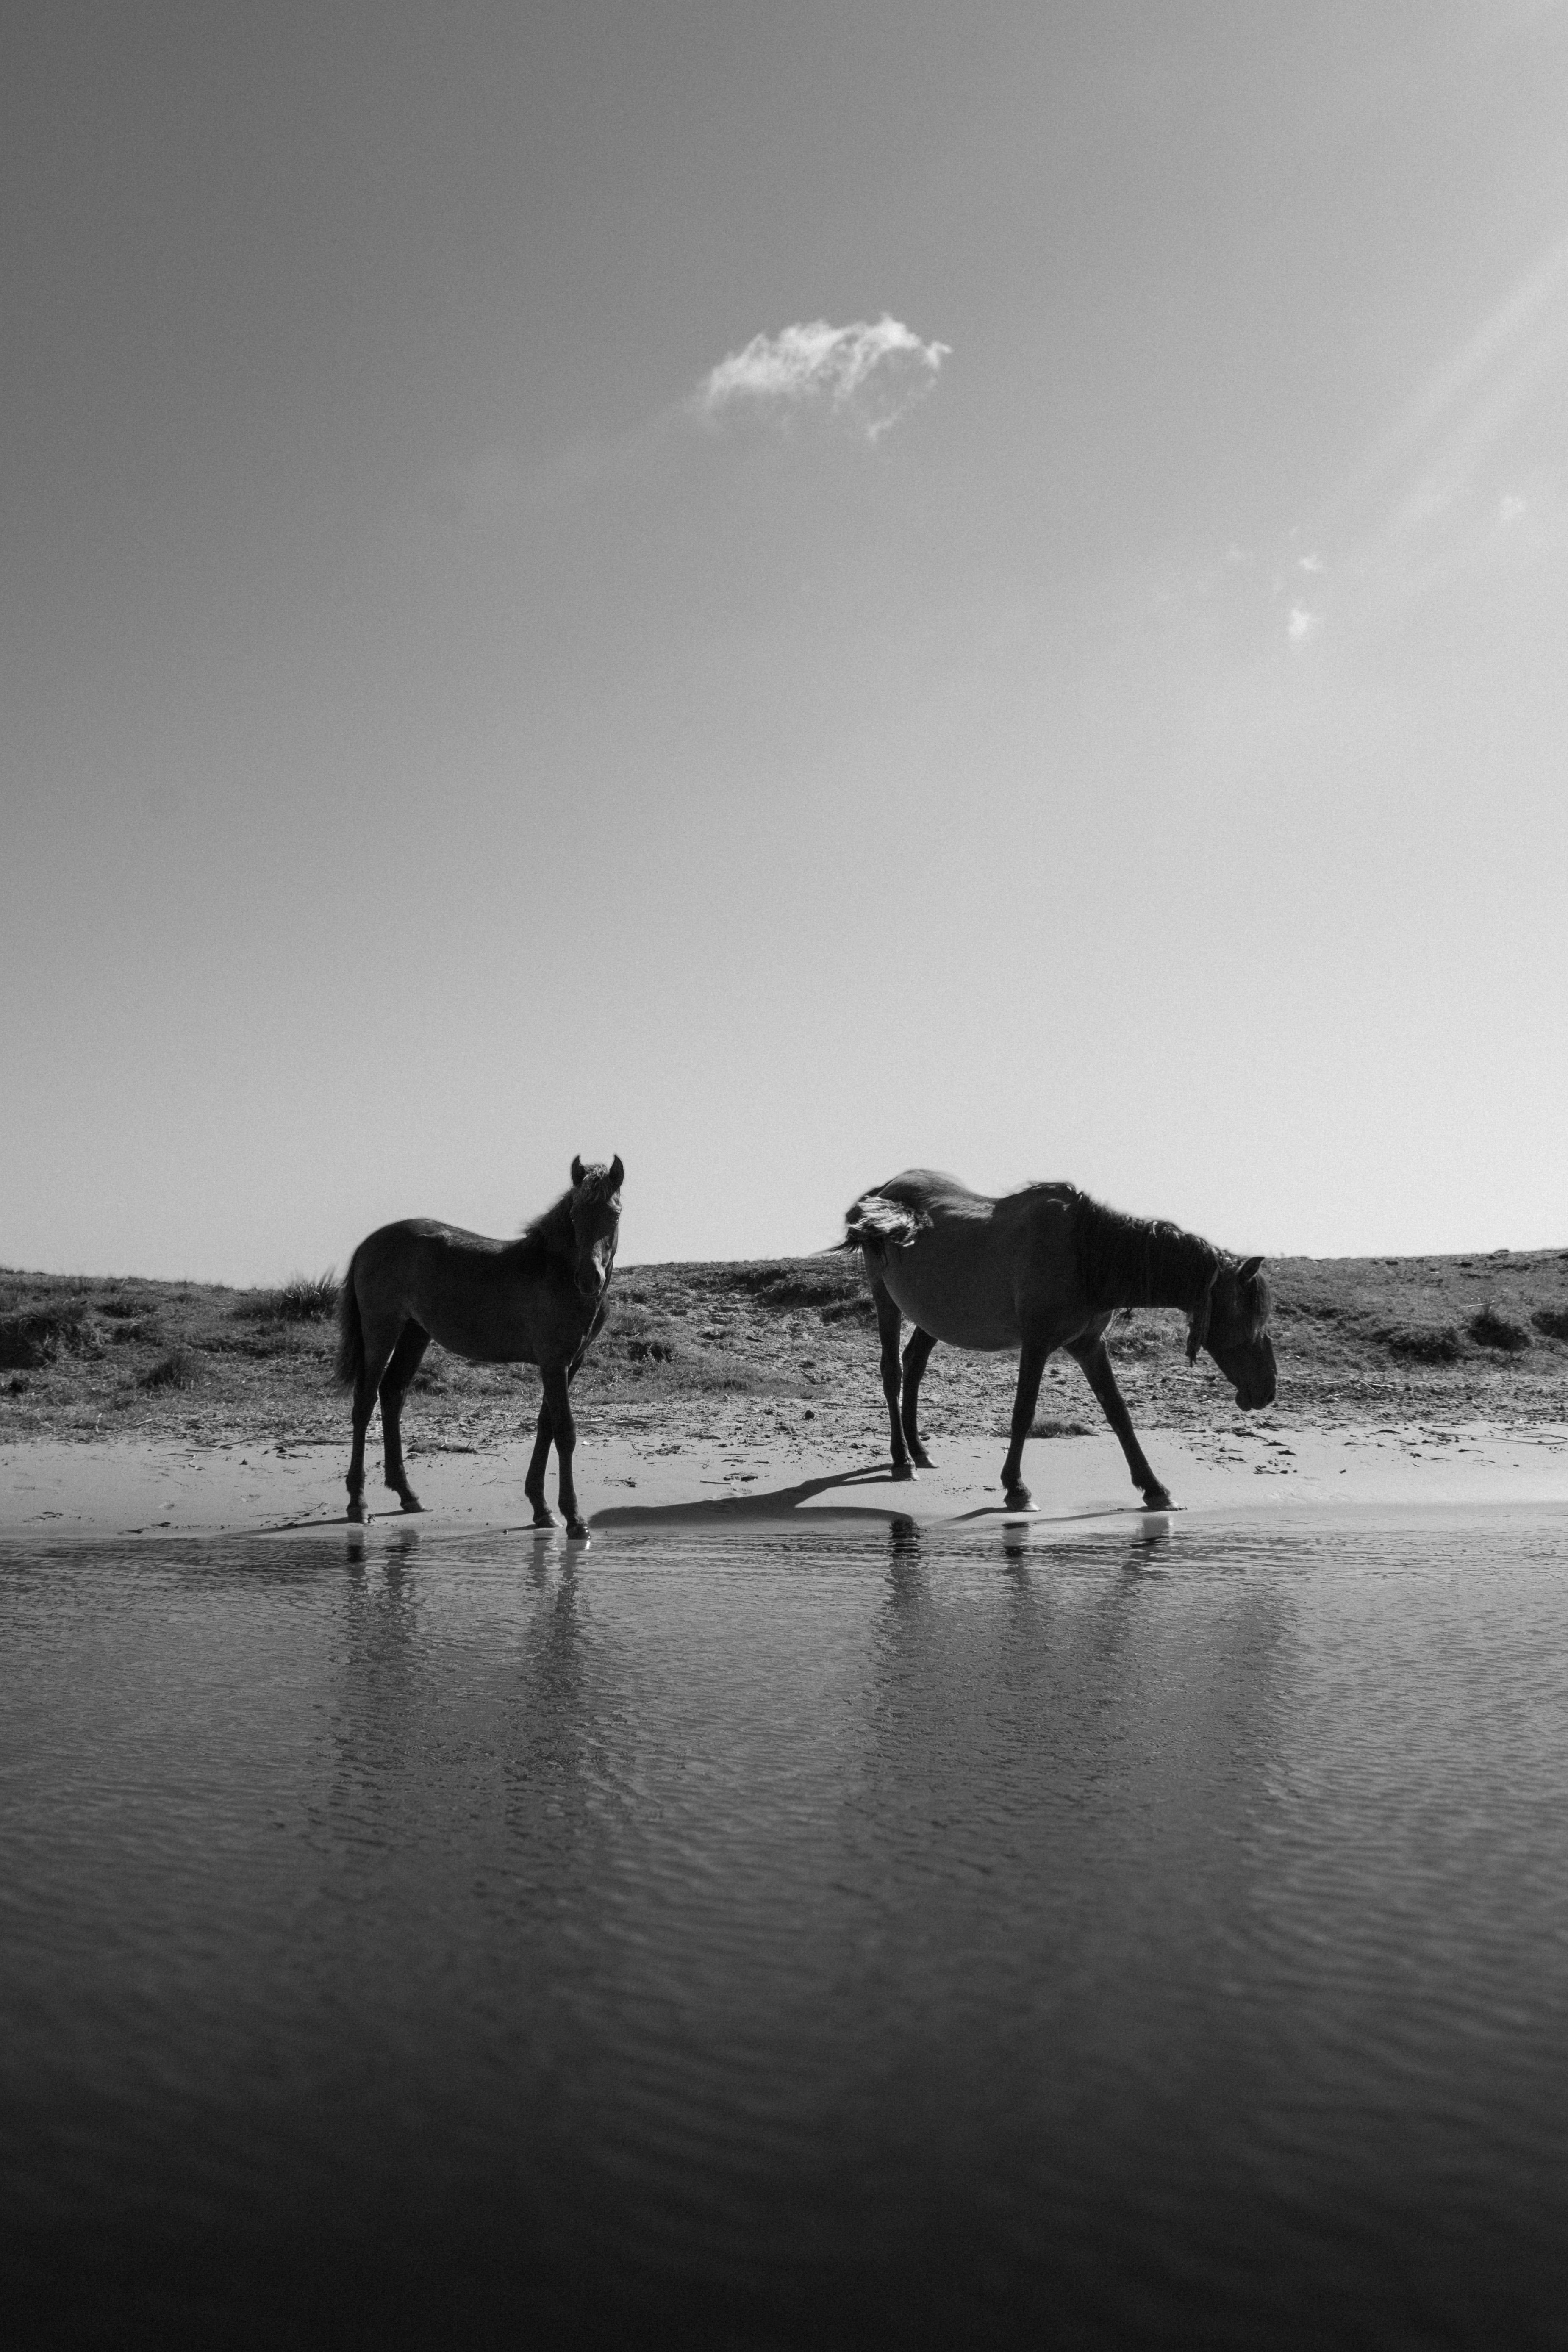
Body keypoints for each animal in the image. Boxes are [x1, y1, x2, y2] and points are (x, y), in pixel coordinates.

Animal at [335, 1156, 623, 1536]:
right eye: (575, 1215)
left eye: (614, 1215)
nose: (590, 1278)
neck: (554, 1270)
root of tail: (368, 1244)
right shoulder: (554, 1362)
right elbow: (565, 1432)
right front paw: (574, 1518)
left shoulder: (571, 1361)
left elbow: (546, 1424)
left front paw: (541, 1507)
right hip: (381, 1330)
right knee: (365, 1402)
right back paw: (358, 1503)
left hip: (415, 1333)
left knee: (392, 1393)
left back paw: (408, 1494)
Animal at [842, 1170, 1275, 1511]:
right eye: (1246, 1316)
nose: (1267, 1391)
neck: (1085, 1255)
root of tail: (884, 1191)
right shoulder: (1036, 1343)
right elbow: (1024, 1412)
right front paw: (1016, 1488)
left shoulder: (1089, 1346)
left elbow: (1118, 1413)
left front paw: (1155, 1489)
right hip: (886, 1300)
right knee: (893, 1372)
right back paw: (902, 1460)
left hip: (932, 1318)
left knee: (914, 1366)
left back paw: (919, 1451)